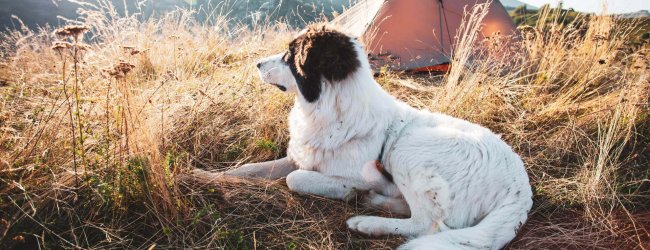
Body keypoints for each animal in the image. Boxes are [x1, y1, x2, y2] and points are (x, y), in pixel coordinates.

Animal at [225, 23, 528, 250]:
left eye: (289, 55)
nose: (257, 63)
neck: (332, 108)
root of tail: (520, 188)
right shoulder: (299, 155)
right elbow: (250, 168)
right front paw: (220, 177)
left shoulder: (359, 173)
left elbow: (295, 178)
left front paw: (347, 191)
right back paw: (373, 202)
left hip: (407, 150)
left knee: (427, 224)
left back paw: (367, 222)